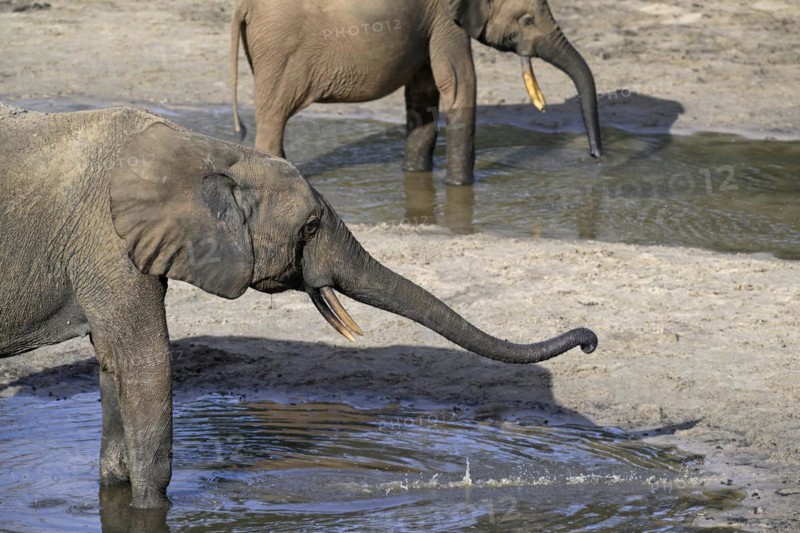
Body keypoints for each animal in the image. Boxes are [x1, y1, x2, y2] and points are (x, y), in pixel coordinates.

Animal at [0, 103, 597, 509]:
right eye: (310, 228)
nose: (589, 340)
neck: (207, 151)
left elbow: (114, 370)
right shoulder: (106, 241)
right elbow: (146, 366)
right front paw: (154, 508)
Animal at [230, 0, 602, 185]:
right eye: (526, 21)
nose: (596, 156)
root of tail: (242, 6)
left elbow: (424, 97)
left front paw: (416, 174)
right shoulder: (446, 19)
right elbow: (460, 86)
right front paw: (459, 188)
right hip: (281, 51)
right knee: (274, 117)